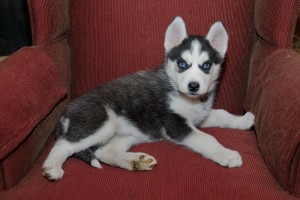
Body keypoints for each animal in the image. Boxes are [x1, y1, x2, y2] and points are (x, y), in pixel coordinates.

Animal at [42, 16, 254, 180]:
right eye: (182, 64)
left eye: (207, 65)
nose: (193, 86)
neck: (184, 95)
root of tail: (65, 113)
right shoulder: (175, 125)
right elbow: (208, 138)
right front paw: (226, 154)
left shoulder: (199, 117)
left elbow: (222, 114)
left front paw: (243, 120)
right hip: (103, 121)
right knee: (63, 144)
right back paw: (52, 167)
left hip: (128, 133)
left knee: (103, 152)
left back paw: (135, 161)